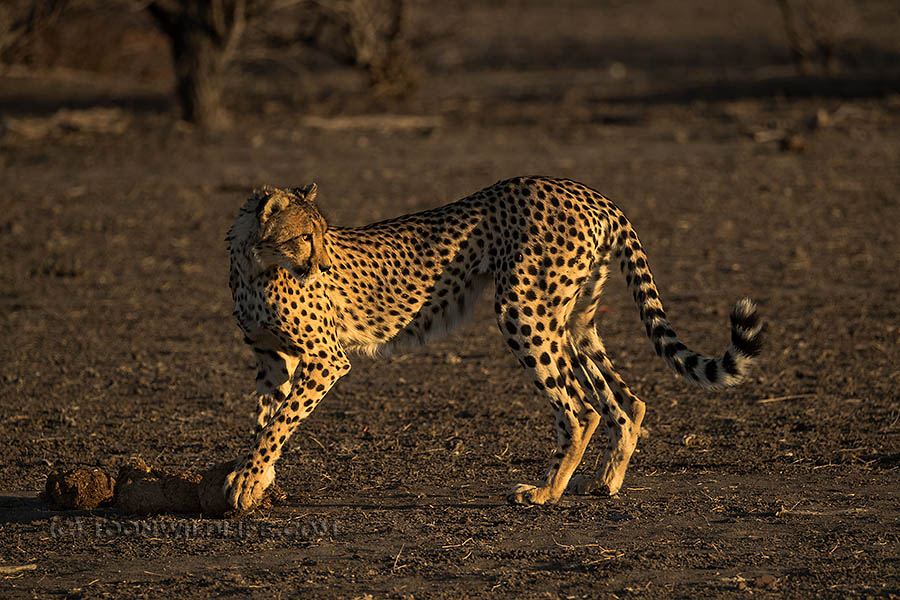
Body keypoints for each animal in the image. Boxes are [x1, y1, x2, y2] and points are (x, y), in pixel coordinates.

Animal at [223, 176, 763, 511]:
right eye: (303, 237)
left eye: (321, 235)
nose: (321, 264)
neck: (255, 265)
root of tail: (588, 192)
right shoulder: (273, 360)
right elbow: (266, 420)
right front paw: (257, 481)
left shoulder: (325, 359)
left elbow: (278, 424)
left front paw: (244, 483)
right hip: (573, 321)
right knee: (626, 401)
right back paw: (605, 481)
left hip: (523, 311)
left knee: (580, 409)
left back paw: (545, 492)